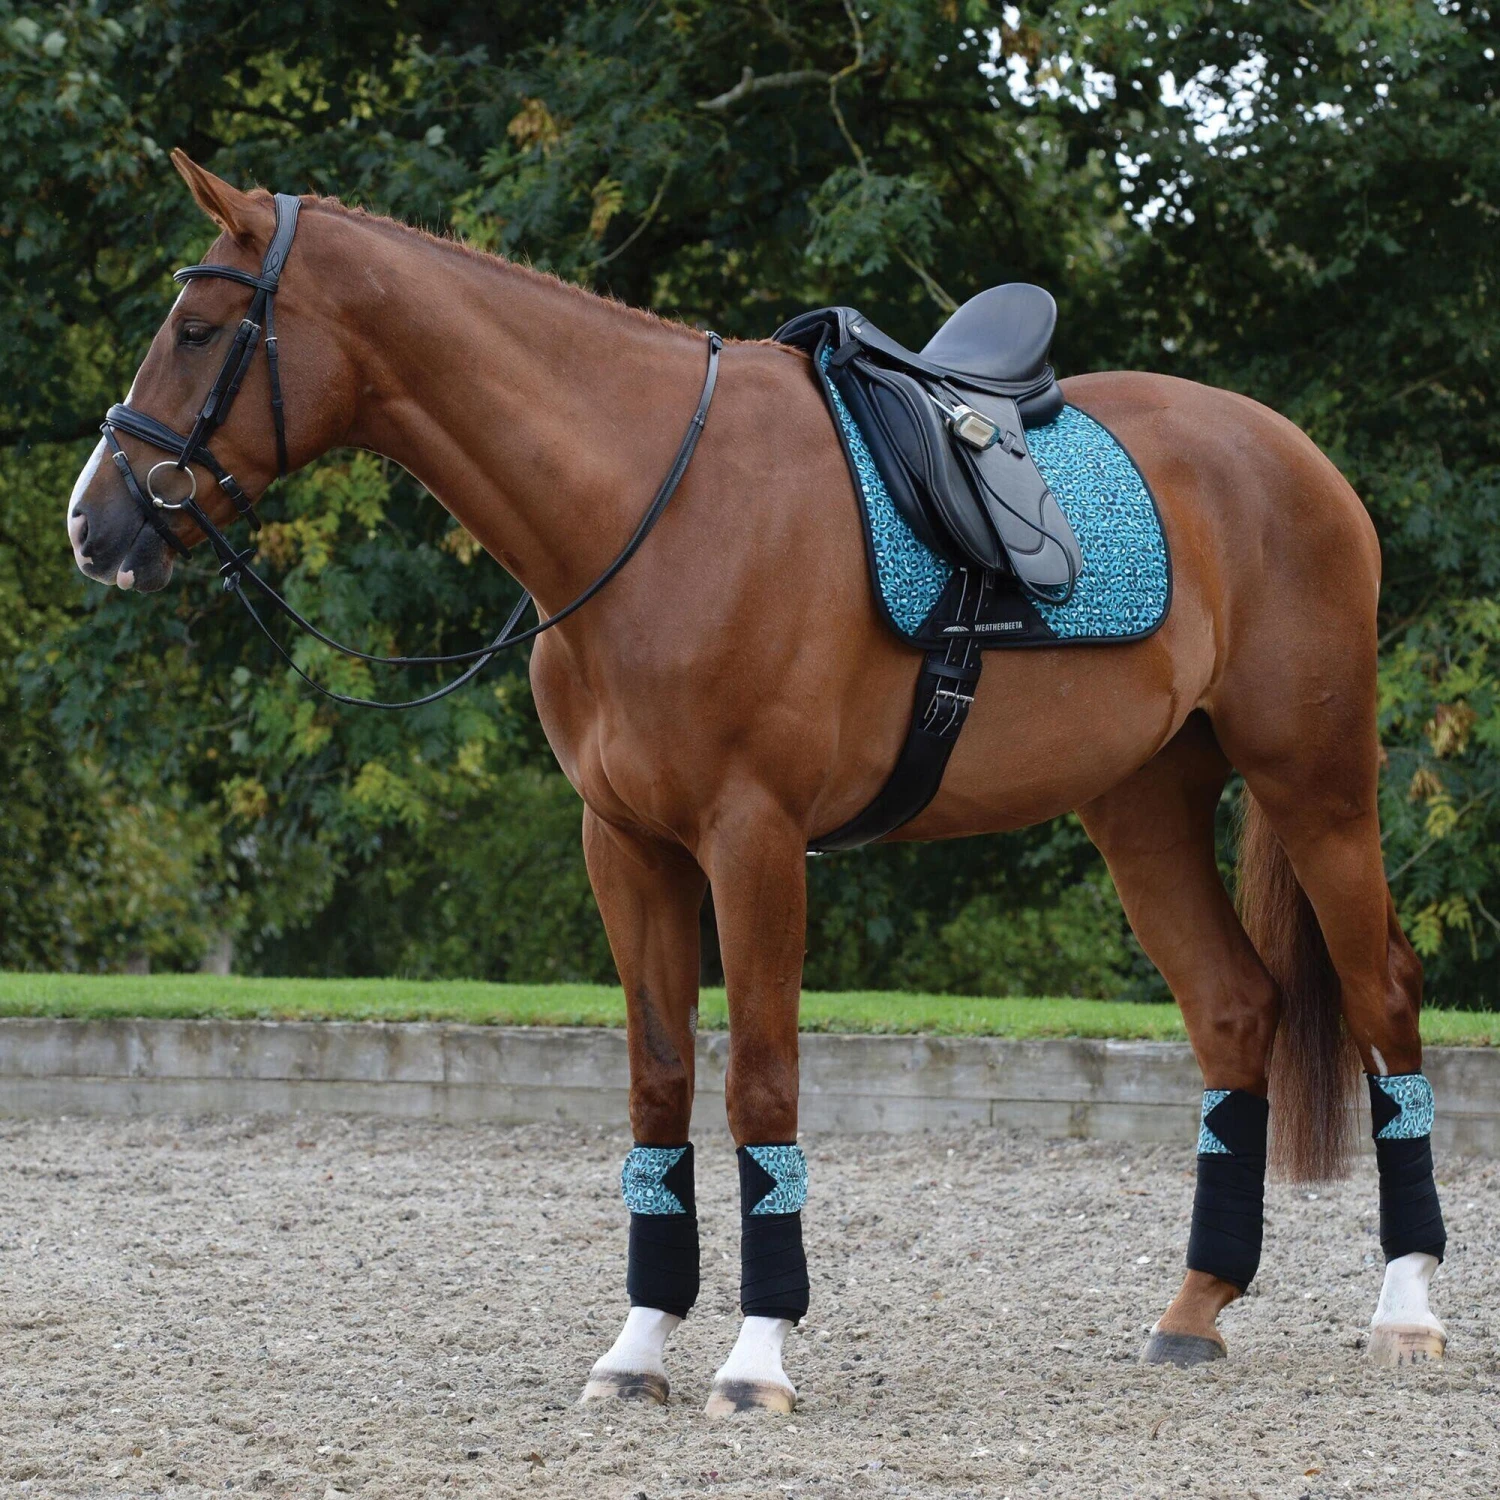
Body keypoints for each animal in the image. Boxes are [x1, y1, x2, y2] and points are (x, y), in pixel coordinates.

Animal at [66, 152, 1447, 1414]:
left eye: (198, 331)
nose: (95, 526)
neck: (649, 508)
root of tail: (1292, 454)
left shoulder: (756, 840)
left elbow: (759, 1081)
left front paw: (756, 1357)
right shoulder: (626, 845)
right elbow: (660, 1083)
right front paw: (637, 1349)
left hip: (1314, 785)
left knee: (1380, 991)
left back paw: (1408, 1309)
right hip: (1143, 803)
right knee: (1234, 1010)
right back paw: (1194, 1308)